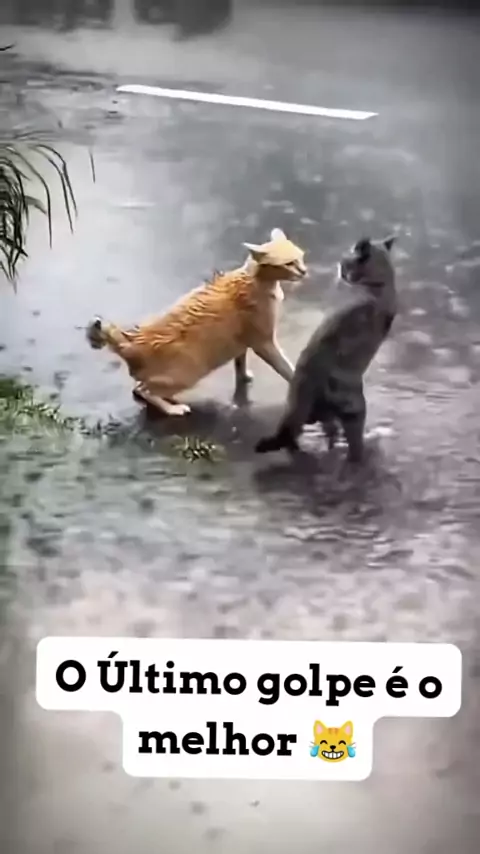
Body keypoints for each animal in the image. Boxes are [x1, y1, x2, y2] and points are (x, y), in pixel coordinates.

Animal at [86, 228, 307, 417]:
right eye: (289, 263)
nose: (304, 271)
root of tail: (131, 342)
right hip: (187, 374)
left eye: (301, 258)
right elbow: (286, 367)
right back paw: (173, 409)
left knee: (138, 388)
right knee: (146, 391)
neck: (257, 280)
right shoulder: (263, 342)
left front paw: (244, 375)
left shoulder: (243, 341)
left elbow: (240, 361)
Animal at [255, 235, 397, 463]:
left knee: (290, 431)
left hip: (300, 395)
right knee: (334, 436)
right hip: (339, 414)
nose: (339, 268)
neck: (378, 286)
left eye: (345, 262)